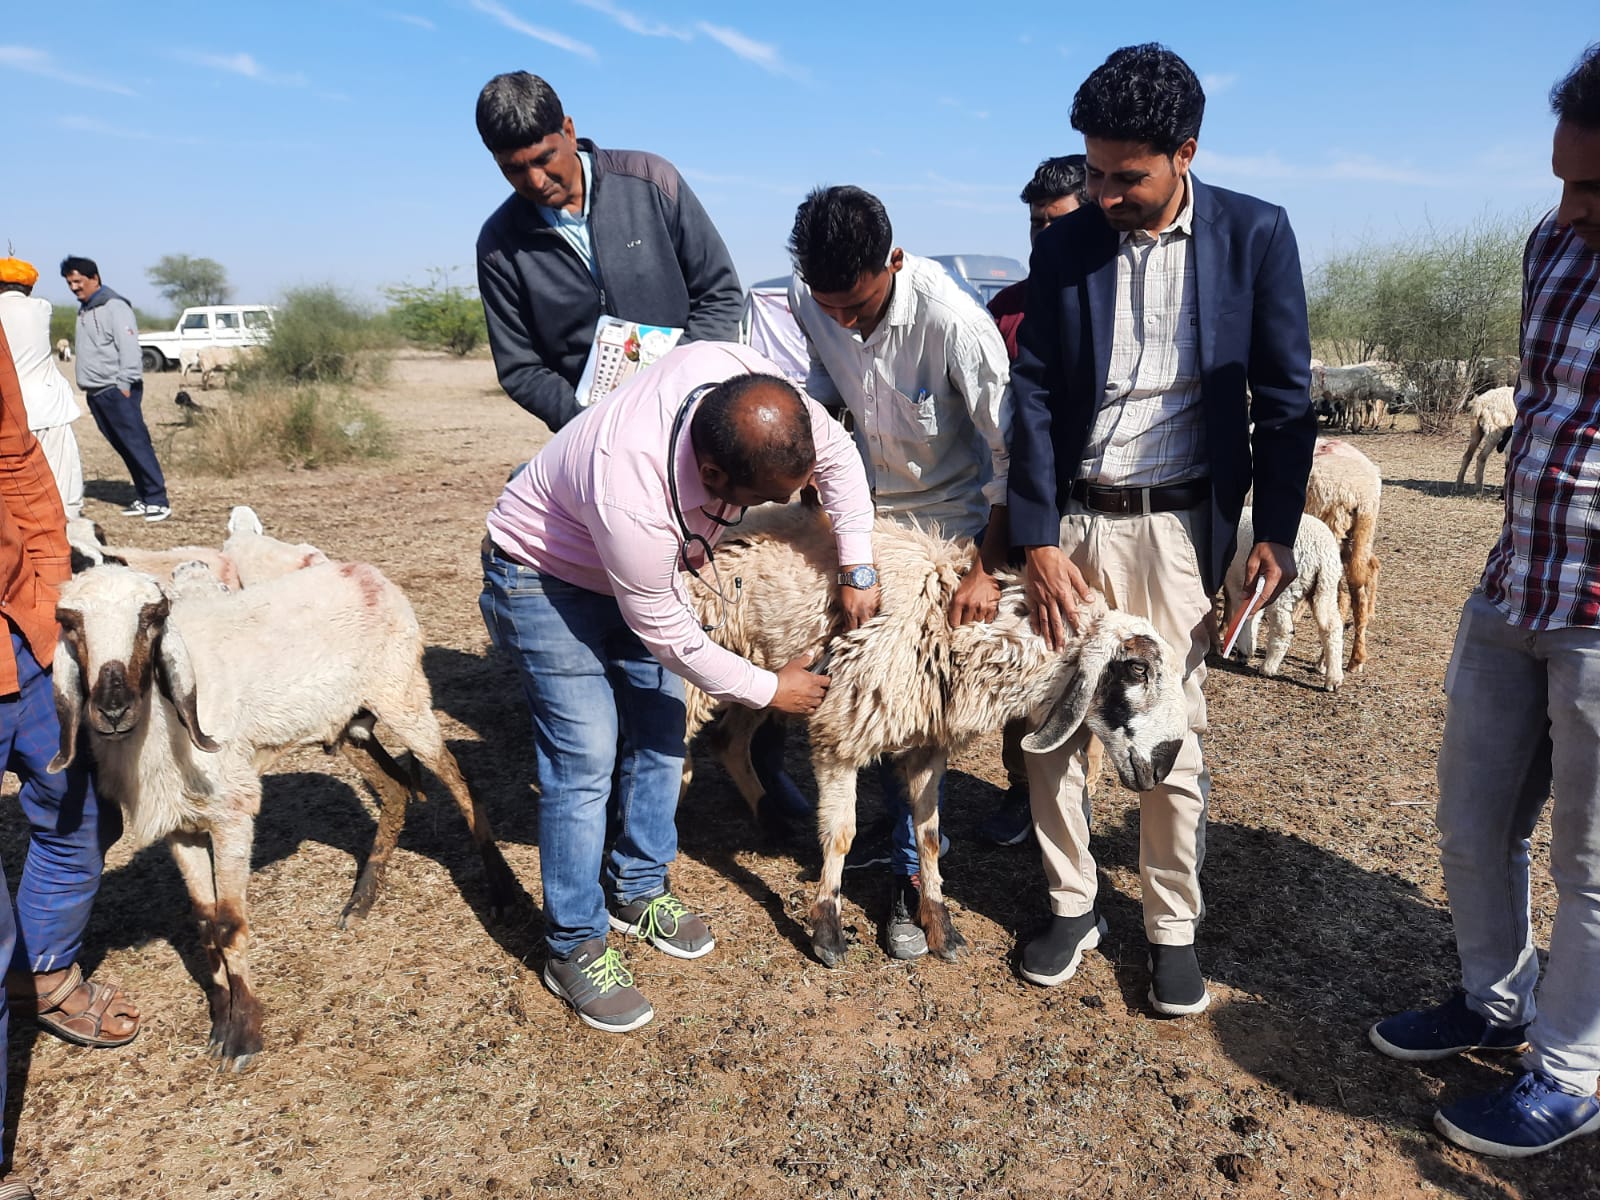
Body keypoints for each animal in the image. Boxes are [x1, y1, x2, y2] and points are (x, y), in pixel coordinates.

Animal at [51, 560, 518, 1068]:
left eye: (152, 618)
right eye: (69, 625)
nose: (113, 709)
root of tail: (366, 572)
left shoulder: (232, 810)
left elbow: (229, 925)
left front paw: (242, 1037)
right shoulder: (180, 823)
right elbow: (204, 922)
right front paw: (220, 1021)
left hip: (402, 695)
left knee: (460, 781)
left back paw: (501, 891)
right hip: (346, 722)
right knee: (396, 789)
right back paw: (360, 903)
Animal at [675, 505, 1190, 966]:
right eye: (1138, 669)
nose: (1164, 763)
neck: (953, 626)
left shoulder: (928, 745)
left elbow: (926, 834)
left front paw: (941, 927)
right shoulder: (840, 733)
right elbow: (841, 835)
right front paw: (827, 931)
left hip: (763, 668)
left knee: (728, 741)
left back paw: (772, 819)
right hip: (705, 662)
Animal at [1228, 508, 1344, 694]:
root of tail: (1321, 553)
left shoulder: (1238, 582)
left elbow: (1243, 614)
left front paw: (1244, 650)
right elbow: (1254, 615)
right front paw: (1247, 650)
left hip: (1284, 590)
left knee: (1284, 630)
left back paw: (1268, 667)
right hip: (1327, 587)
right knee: (1332, 627)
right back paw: (1334, 679)